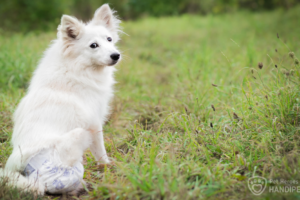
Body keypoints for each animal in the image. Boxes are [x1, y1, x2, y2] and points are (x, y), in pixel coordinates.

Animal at [1, 3, 121, 195]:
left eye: (109, 39)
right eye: (93, 45)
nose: (116, 55)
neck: (77, 67)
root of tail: (37, 179)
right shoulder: (94, 124)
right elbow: (101, 152)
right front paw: (108, 167)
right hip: (78, 135)